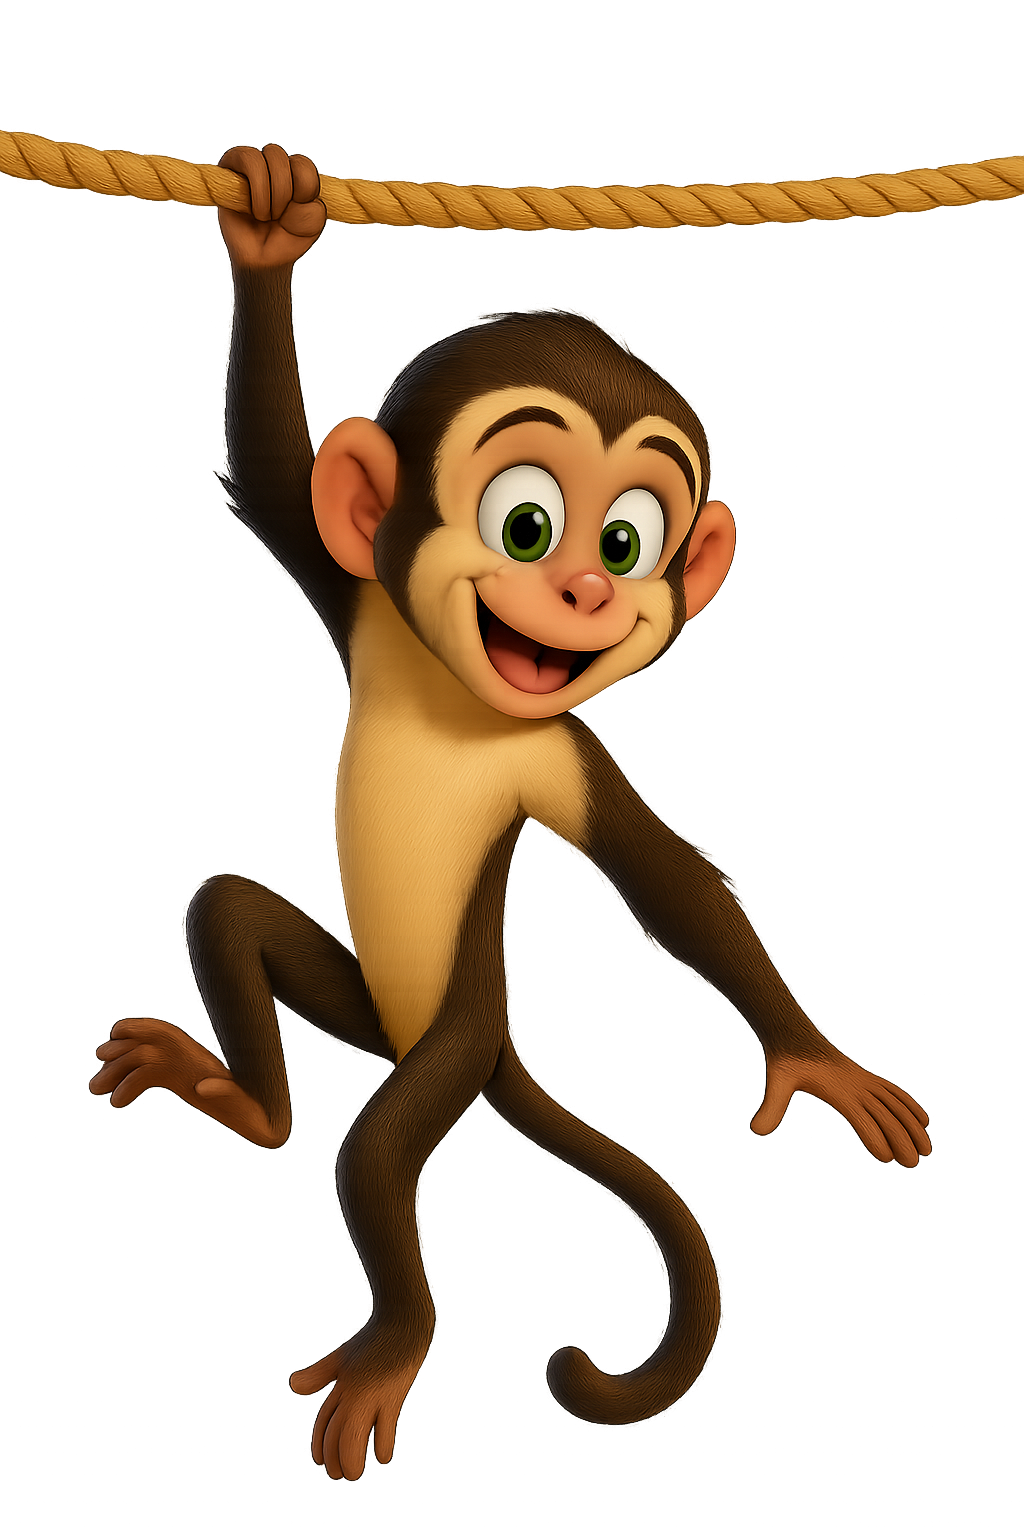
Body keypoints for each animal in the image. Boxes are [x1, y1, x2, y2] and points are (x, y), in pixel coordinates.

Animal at [89, 144, 931, 1484]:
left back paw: (394, 1338)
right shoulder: (362, 598)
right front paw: (271, 224)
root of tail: (430, 1033)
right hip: (356, 993)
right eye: (525, 522)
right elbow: (274, 485)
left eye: (631, 541)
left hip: (459, 1036)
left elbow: (667, 874)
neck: (460, 694)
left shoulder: (558, 753)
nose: (584, 587)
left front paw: (814, 1062)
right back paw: (246, 1102)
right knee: (227, 917)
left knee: (379, 1151)